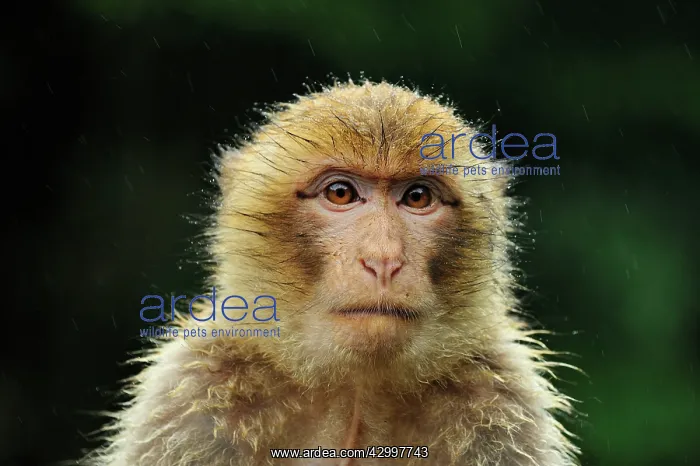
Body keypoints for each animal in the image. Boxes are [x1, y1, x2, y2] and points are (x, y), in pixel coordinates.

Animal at [81, 80, 581, 466]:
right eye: (340, 193)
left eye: (418, 197)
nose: (384, 259)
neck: (355, 392)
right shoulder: (194, 398)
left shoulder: (499, 408)